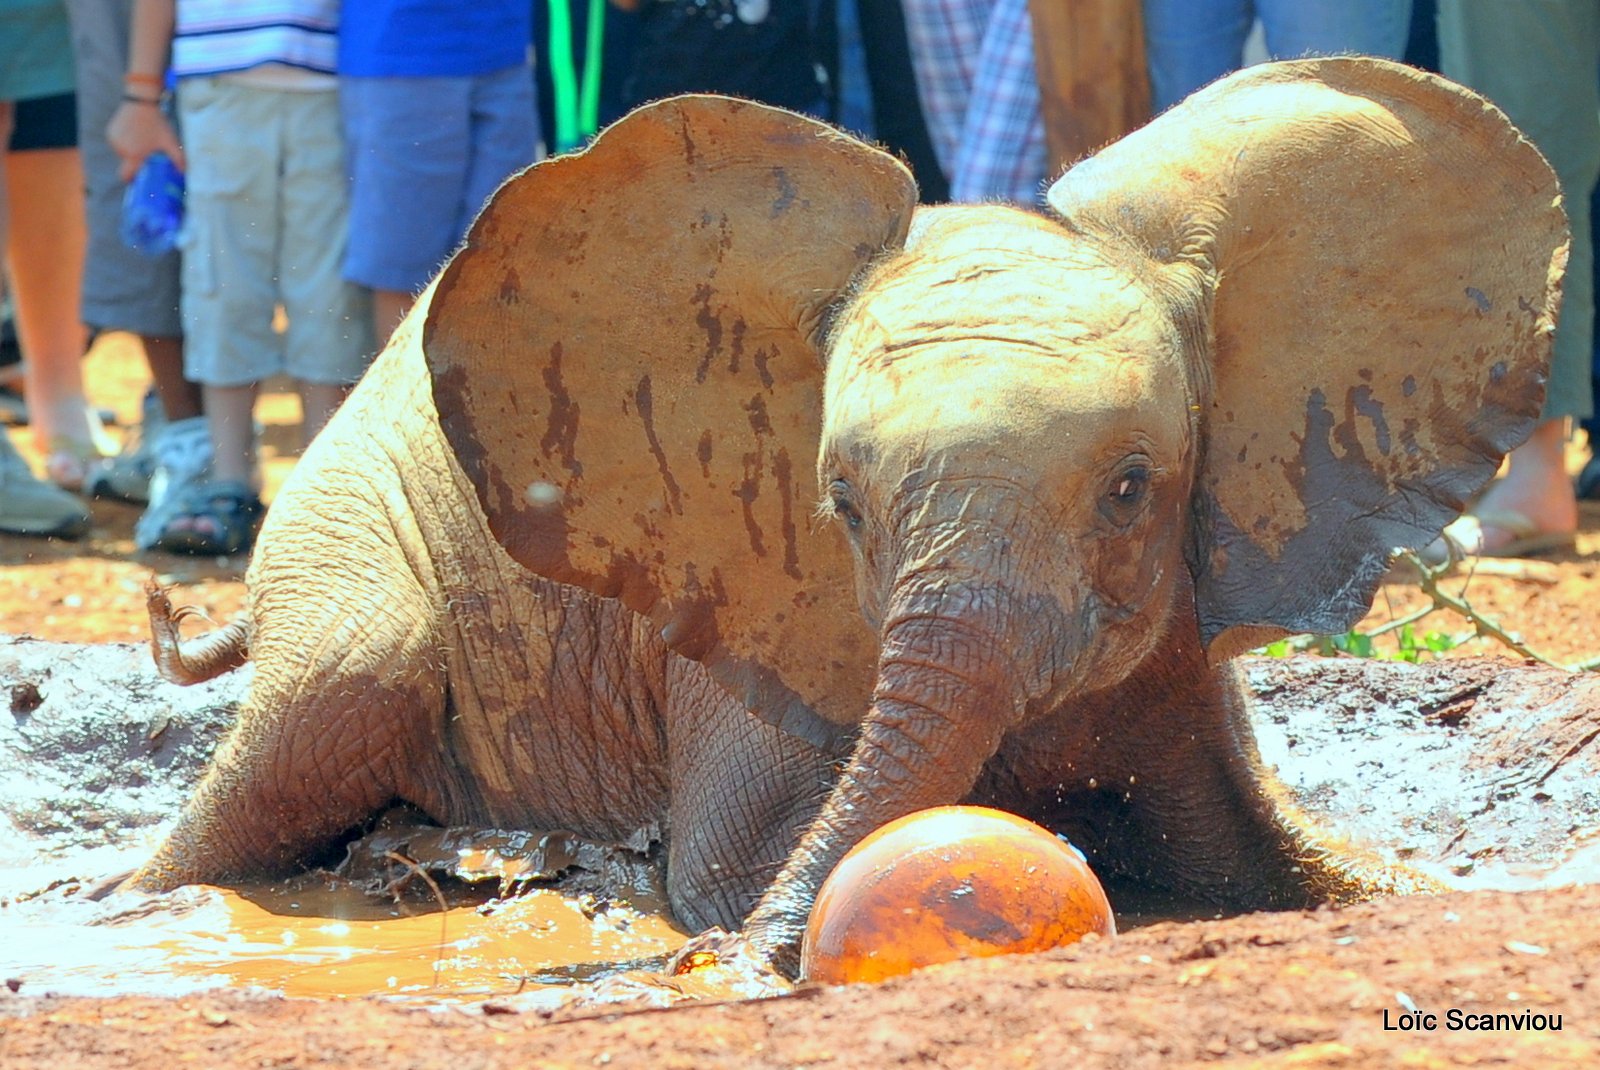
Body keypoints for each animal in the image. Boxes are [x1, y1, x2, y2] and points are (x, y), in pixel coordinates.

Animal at [144, 60, 1568, 978]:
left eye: (1130, 488)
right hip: (340, 525)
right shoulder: (753, 614)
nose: (734, 972)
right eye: (839, 502)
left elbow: (1302, 869)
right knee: (331, 697)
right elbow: (726, 870)